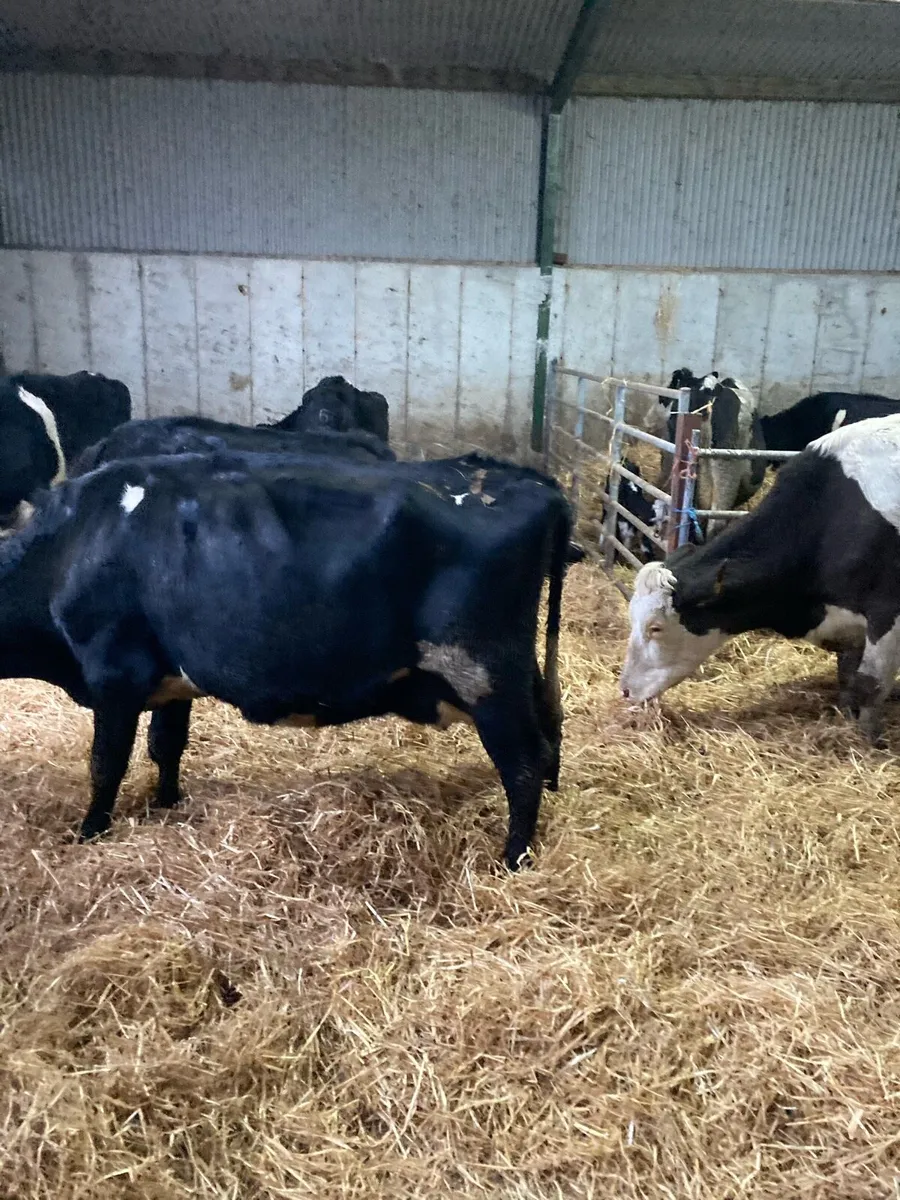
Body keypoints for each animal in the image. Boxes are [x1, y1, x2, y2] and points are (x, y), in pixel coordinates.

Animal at [2, 451, 572, 868]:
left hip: (483, 673)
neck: (74, 541)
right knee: (551, 727)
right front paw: (168, 804)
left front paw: (90, 832)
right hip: (520, 672)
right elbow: (166, 746)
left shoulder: (114, 672)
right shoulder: (171, 678)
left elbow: (105, 764)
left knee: (524, 762)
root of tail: (534, 483)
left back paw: (513, 858)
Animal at [620, 412, 900, 746]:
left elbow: (869, 685)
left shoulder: (886, 614)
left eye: (656, 627)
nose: (625, 689)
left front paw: (868, 742)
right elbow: (847, 676)